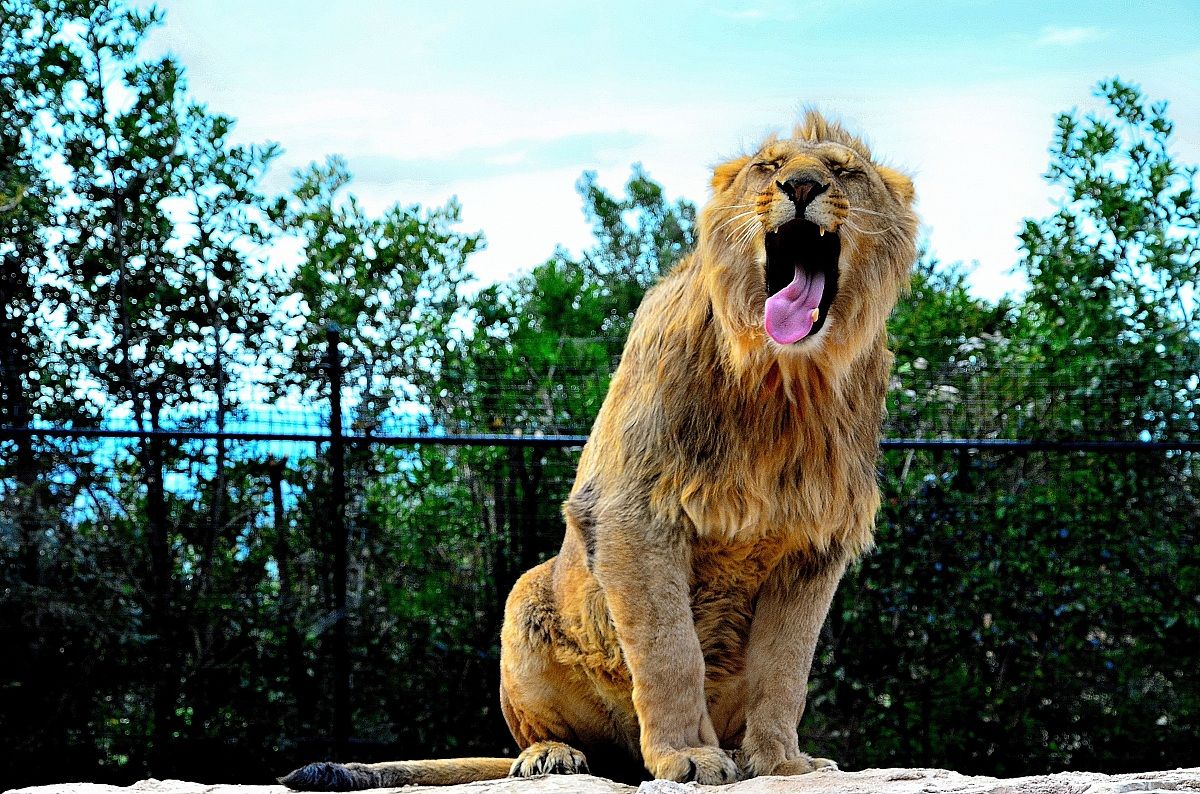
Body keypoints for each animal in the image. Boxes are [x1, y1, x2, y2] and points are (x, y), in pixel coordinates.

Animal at [282, 110, 917, 790]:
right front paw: (689, 756)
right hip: (523, 600)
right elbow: (670, 651)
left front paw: (781, 762)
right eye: (768, 167)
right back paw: (554, 755)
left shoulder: (813, 543)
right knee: (552, 740)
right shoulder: (632, 508)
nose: (800, 186)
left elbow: (785, 670)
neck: (782, 380)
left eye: (844, 171)